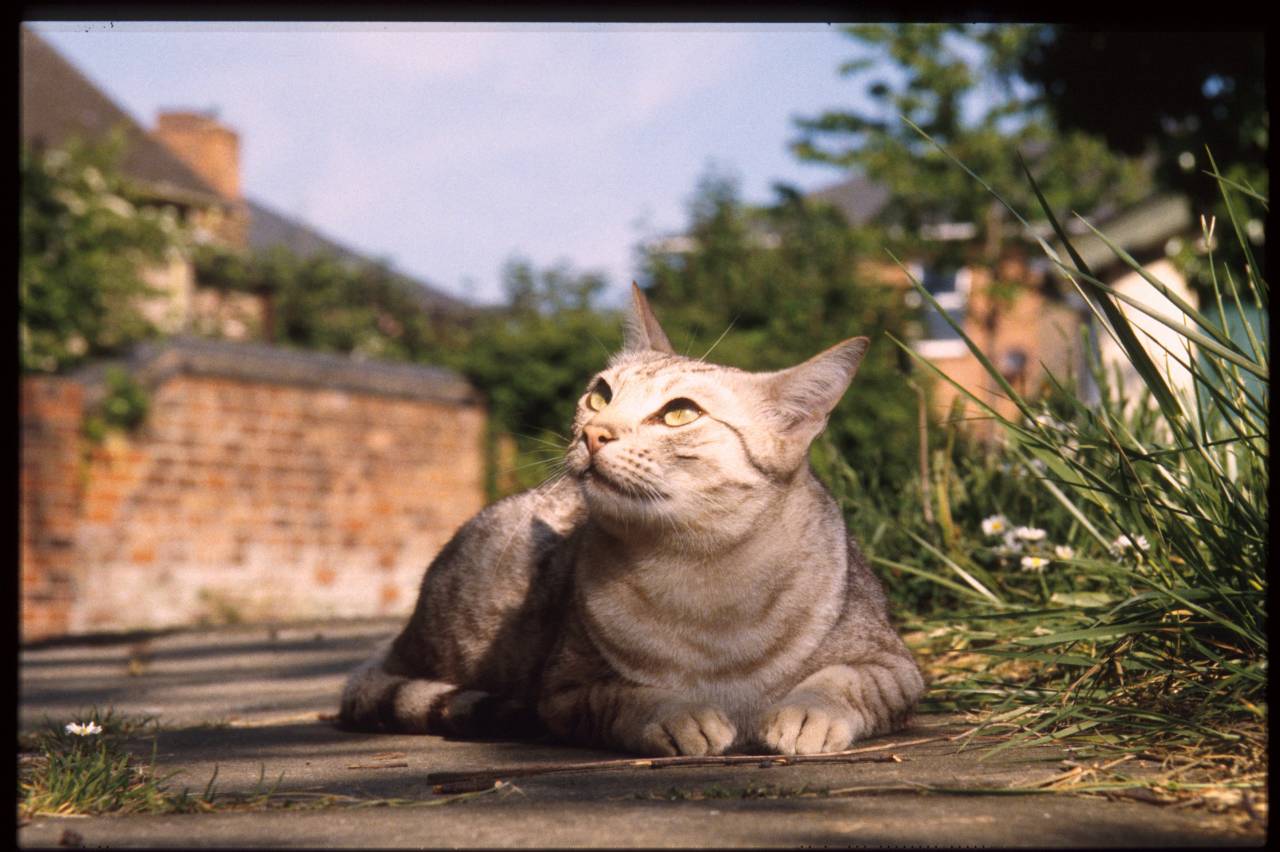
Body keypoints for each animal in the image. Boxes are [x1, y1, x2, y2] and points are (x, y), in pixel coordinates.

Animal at [340, 285, 921, 752]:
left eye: (680, 413)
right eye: (600, 394)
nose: (594, 433)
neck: (702, 570)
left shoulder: (897, 668)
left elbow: (844, 681)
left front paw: (807, 713)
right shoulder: (567, 690)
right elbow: (629, 697)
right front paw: (677, 714)